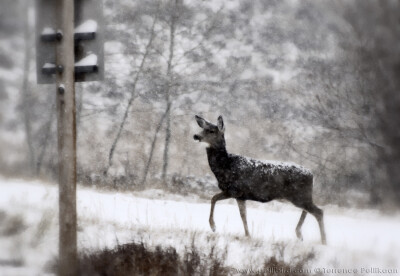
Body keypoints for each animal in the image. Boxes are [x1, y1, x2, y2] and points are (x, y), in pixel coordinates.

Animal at [194, 115, 328, 245]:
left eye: (211, 131)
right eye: (202, 128)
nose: (196, 136)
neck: (226, 167)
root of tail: (311, 175)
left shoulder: (234, 190)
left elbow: (213, 198)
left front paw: (213, 226)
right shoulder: (241, 196)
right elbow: (243, 215)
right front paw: (248, 235)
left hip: (298, 195)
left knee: (318, 211)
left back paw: (323, 241)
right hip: (299, 196)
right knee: (309, 210)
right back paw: (299, 234)